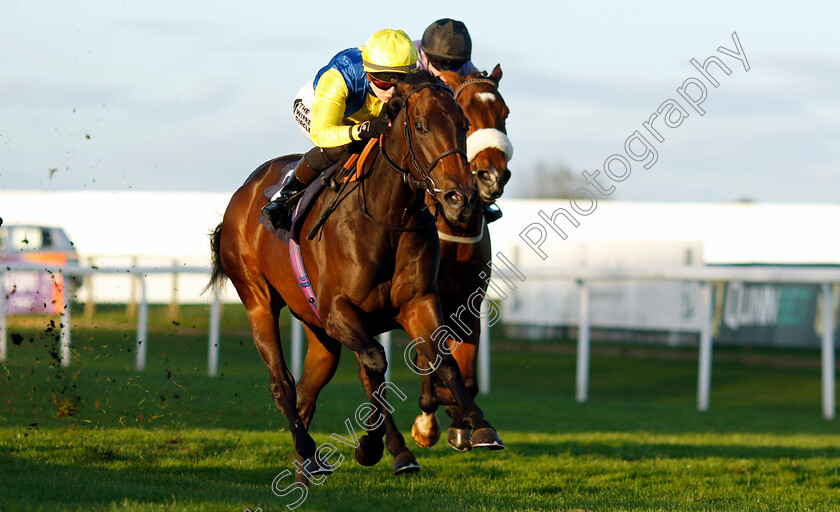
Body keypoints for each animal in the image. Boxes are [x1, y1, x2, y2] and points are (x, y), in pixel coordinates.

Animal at [208, 70, 502, 482]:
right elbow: (375, 365)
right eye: (421, 126)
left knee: (307, 390)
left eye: (463, 125)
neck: (387, 218)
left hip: (318, 329)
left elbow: (442, 360)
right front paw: (376, 446)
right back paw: (311, 453)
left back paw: (305, 466)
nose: (462, 198)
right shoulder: (339, 312)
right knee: (282, 382)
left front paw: (480, 426)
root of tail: (242, 193)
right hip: (259, 302)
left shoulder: (420, 303)